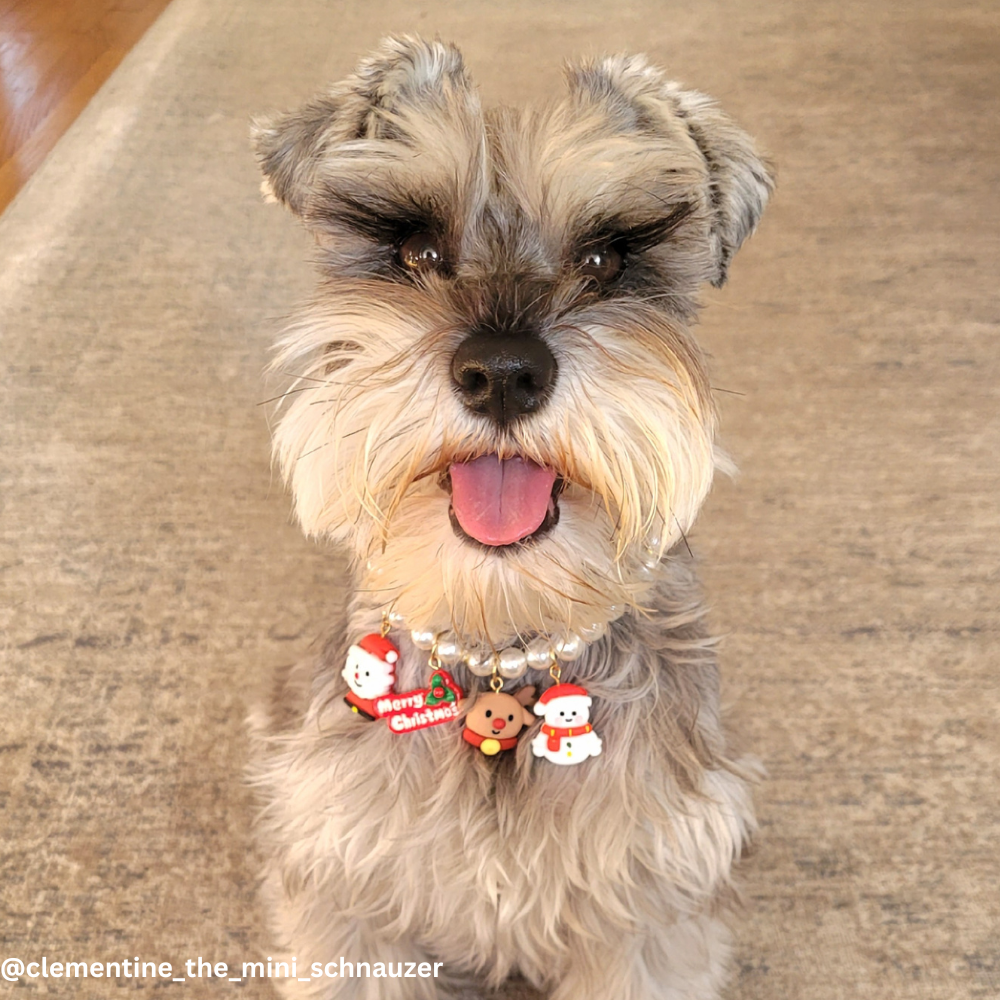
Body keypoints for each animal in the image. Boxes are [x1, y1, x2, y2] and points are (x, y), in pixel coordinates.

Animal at [248, 35, 772, 996]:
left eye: (605, 261)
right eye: (416, 249)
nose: (502, 373)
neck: (500, 656)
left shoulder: (646, 920)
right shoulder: (350, 904)